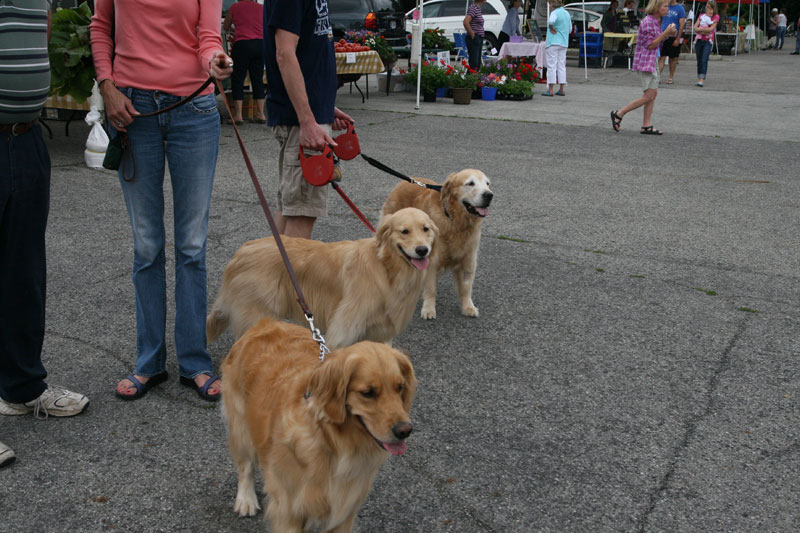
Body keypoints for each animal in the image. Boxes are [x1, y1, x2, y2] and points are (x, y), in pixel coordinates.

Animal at [206, 206, 438, 348]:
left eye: (426, 229)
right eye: (404, 231)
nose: (422, 250)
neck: (386, 268)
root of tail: (242, 250)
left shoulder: (379, 334)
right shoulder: (343, 330)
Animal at [222, 318, 416, 528]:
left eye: (400, 387)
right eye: (368, 393)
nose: (405, 430)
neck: (334, 445)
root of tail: (266, 323)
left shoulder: (344, 513)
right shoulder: (289, 511)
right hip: (241, 426)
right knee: (245, 465)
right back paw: (246, 499)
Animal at [382, 169, 494, 320]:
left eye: (487, 184)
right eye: (470, 183)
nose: (489, 195)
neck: (454, 221)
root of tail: (405, 181)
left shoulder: (469, 259)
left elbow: (466, 287)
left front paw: (468, 307)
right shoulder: (432, 260)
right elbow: (431, 289)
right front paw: (428, 309)